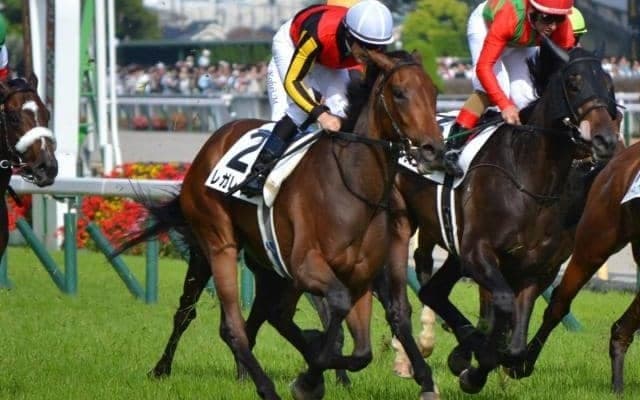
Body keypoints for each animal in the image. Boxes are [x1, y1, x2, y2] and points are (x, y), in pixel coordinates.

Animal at [115, 48, 444, 400]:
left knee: (270, 316)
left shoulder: (359, 276)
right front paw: (309, 378)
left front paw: (318, 368)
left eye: (434, 92)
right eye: (399, 93)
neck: (352, 184)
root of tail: (213, 142)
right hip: (214, 245)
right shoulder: (307, 266)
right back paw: (177, 371)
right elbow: (338, 309)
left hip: (269, 268)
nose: (433, 149)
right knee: (212, 319)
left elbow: (362, 351)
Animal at [400, 38, 622, 393]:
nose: (605, 140)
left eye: (609, 85)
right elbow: (501, 304)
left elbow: (516, 341)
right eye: (573, 83)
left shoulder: (537, 267)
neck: (532, 181)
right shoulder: (479, 251)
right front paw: (476, 368)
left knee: (432, 290)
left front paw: (488, 359)